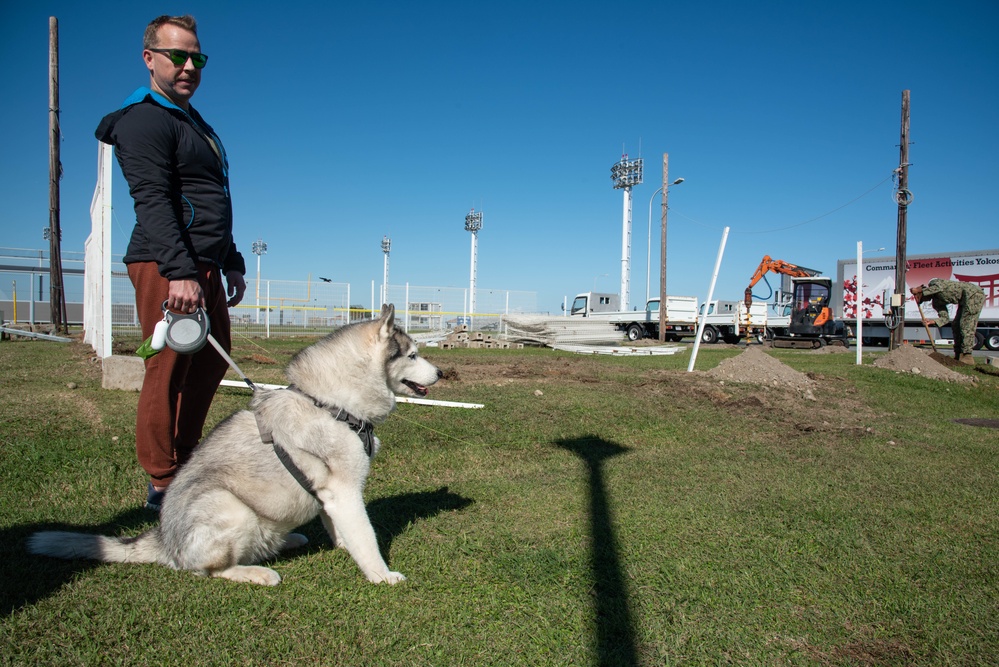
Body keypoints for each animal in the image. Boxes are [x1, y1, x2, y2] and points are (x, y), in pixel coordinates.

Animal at [28, 306, 442, 588]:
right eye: (412, 354)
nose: (440, 372)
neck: (330, 404)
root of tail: (162, 540)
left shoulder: (331, 495)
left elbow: (343, 527)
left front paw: (341, 544)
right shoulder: (343, 490)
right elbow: (366, 536)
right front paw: (380, 574)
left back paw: (288, 540)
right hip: (230, 508)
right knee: (209, 571)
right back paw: (256, 572)